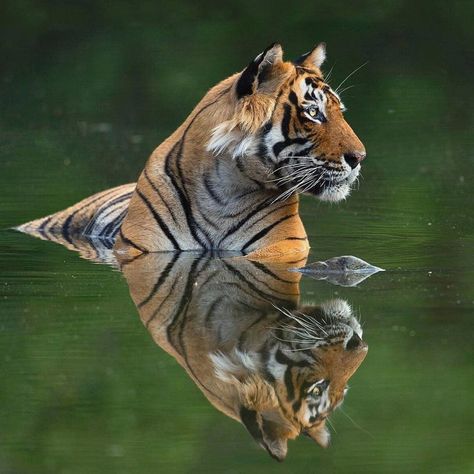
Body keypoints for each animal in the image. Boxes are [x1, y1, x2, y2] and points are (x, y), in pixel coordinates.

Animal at [14, 42, 364, 262]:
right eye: (313, 112)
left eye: (339, 111)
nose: (359, 157)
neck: (227, 192)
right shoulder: (142, 249)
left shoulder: (283, 249)